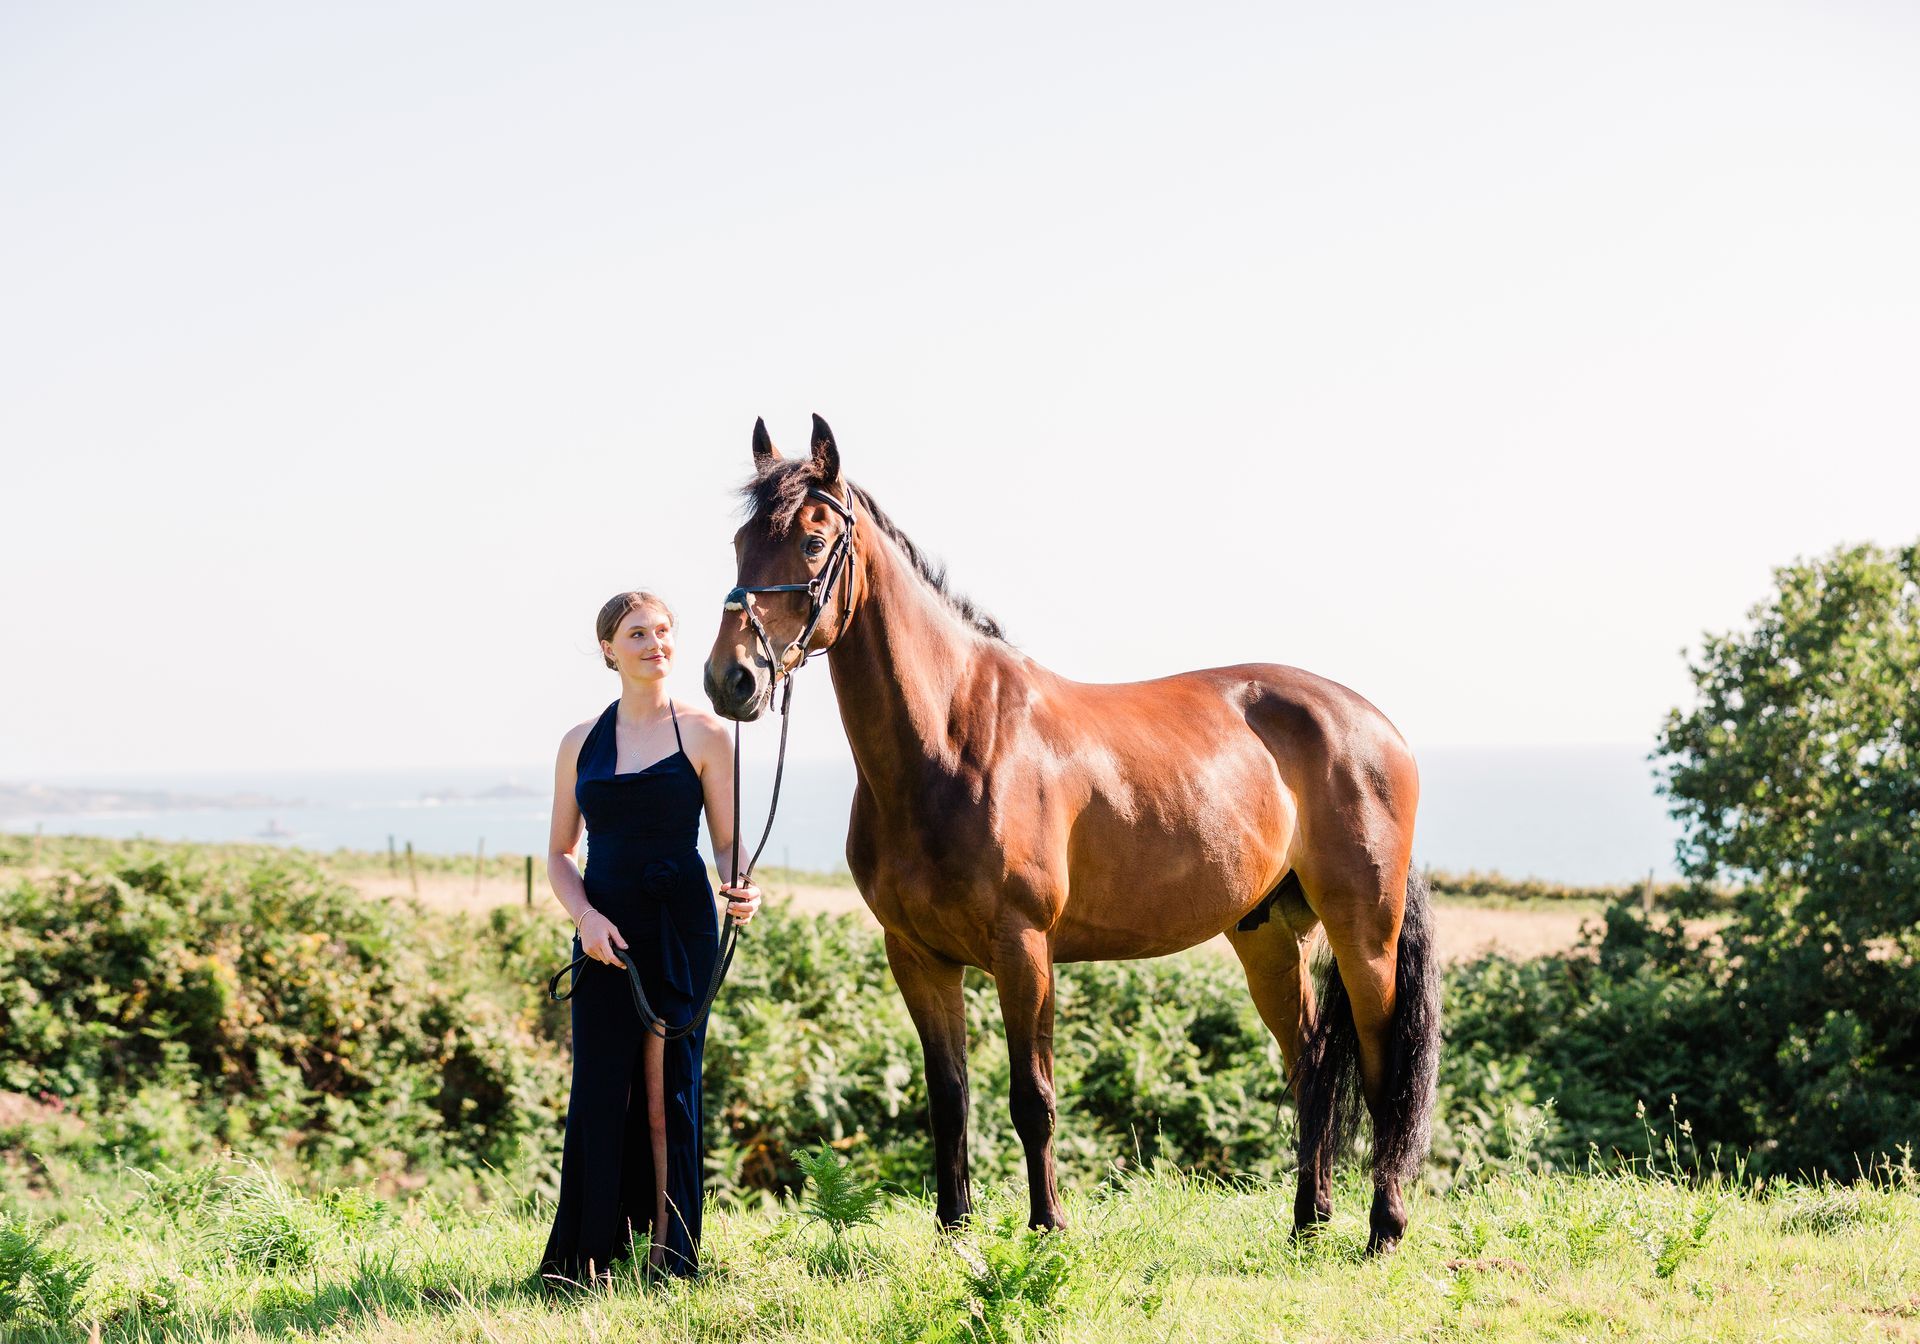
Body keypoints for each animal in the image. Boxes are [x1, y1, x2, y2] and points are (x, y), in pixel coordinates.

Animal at [702, 415, 1441, 1253]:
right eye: (740, 540)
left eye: (813, 540)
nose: (732, 679)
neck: (955, 739)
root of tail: (1376, 725)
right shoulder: (918, 956)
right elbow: (949, 1098)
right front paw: (954, 1232)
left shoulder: (1024, 949)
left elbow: (1033, 1098)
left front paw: (1047, 1226)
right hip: (1266, 935)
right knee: (1312, 1062)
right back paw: (1308, 1223)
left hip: (1364, 932)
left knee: (1383, 1077)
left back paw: (1383, 1231)